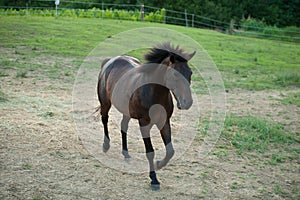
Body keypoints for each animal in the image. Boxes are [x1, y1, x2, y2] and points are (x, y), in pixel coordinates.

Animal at [96, 42, 195, 189]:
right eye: (175, 74)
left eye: (190, 73)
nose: (187, 102)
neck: (153, 92)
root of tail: (109, 61)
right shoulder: (144, 123)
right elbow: (150, 152)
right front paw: (154, 179)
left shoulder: (164, 122)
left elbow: (170, 151)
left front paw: (159, 164)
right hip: (105, 103)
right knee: (105, 119)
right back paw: (106, 146)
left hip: (126, 111)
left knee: (123, 126)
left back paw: (126, 153)